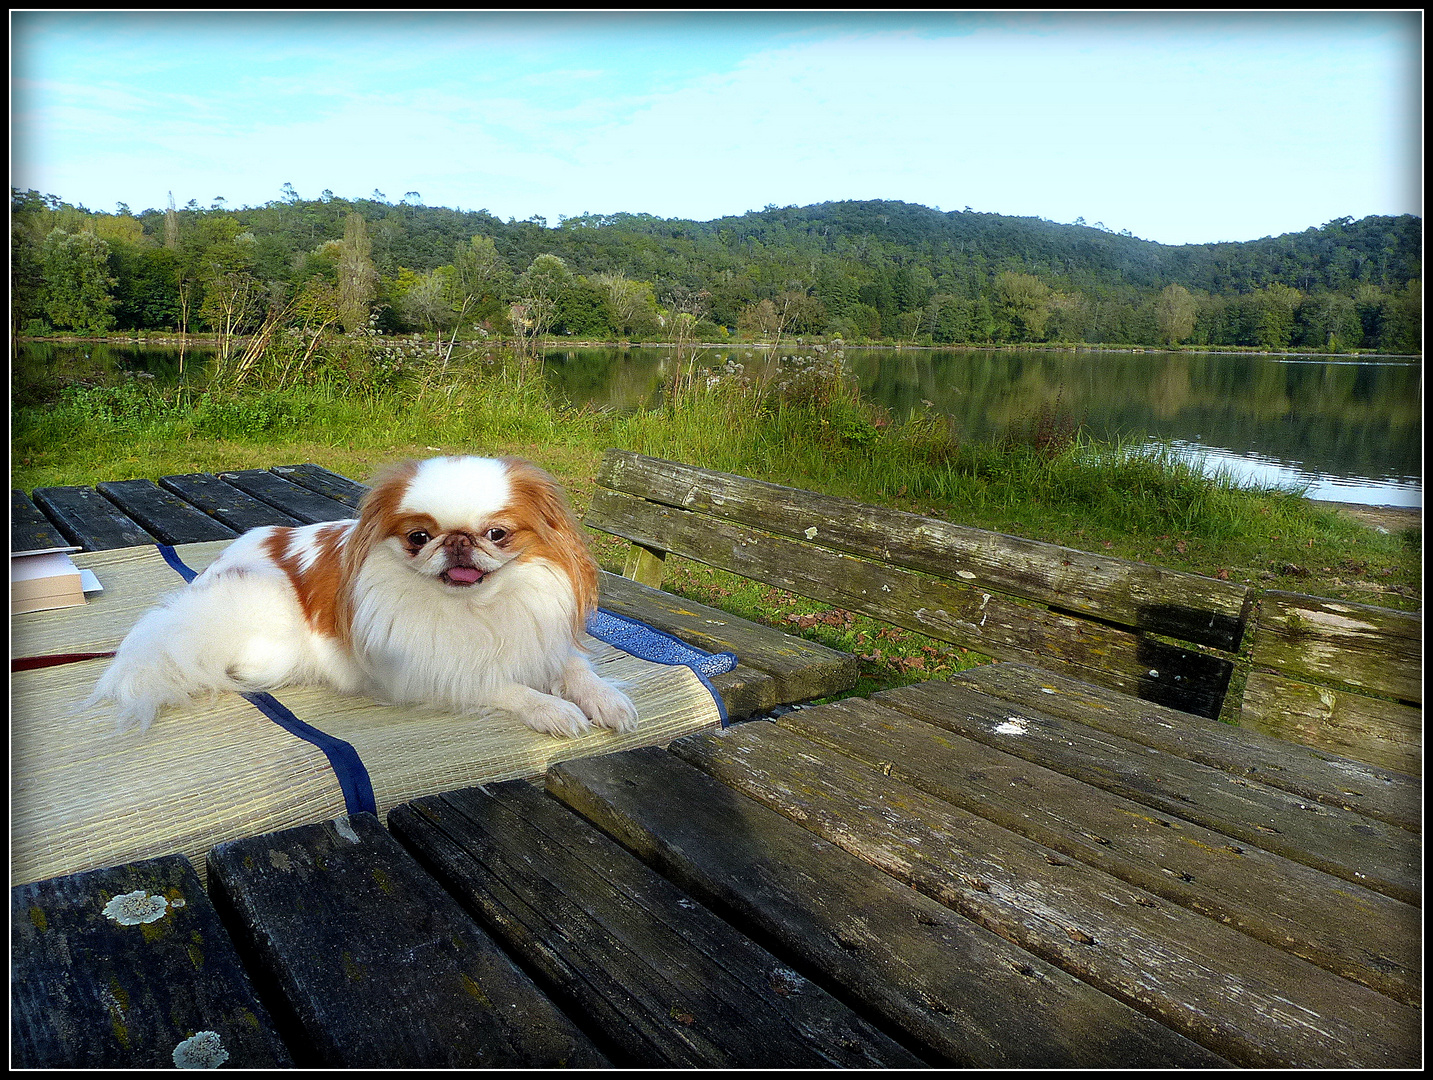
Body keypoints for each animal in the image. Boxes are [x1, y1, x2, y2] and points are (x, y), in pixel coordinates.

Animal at [92, 449, 641, 739]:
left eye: (497, 534)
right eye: (419, 537)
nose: (457, 541)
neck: (478, 609)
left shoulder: (542, 642)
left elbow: (576, 669)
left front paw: (607, 700)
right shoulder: (430, 675)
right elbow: (505, 687)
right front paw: (555, 710)